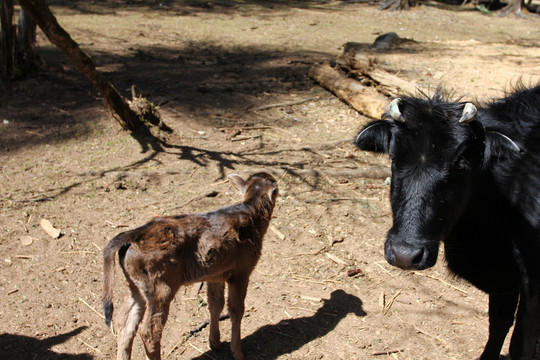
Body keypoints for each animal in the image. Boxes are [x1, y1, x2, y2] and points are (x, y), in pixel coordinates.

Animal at [102, 173, 278, 358]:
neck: (252, 216)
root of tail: (134, 234)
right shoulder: (241, 272)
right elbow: (236, 310)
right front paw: (238, 353)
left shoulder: (216, 274)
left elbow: (215, 304)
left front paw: (215, 343)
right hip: (160, 288)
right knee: (149, 331)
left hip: (135, 286)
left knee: (124, 323)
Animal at [354, 85, 540, 360]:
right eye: (394, 159)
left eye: (460, 165)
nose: (404, 255)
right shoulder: (503, 279)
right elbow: (498, 325)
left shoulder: (531, 285)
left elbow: (520, 344)